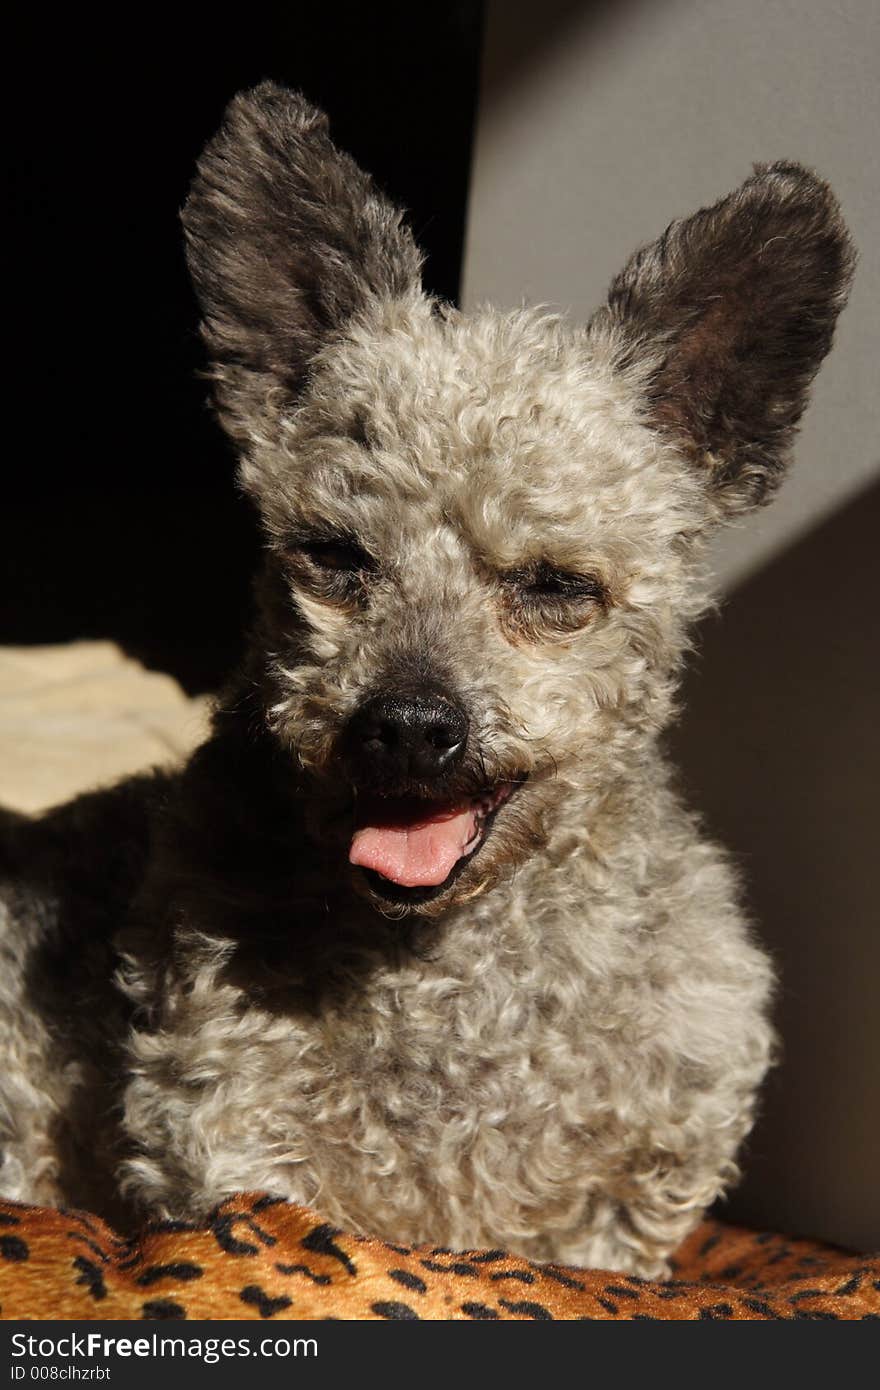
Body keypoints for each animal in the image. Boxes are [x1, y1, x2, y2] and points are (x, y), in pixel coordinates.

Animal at [0, 81, 850, 1273]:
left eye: (555, 584)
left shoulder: (629, 1202)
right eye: (335, 557)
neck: (448, 974)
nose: (405, 724)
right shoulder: (228, 1156)